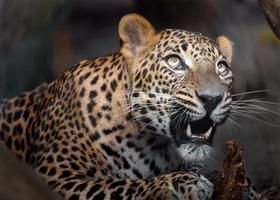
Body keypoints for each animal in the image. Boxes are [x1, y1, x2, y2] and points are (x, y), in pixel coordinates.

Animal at [0, 13, 256, 199]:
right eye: (174, 62)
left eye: (221, 67)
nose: (212, 98)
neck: (151, 145)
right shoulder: (58, 178)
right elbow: (118, 186)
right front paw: (181, 182)